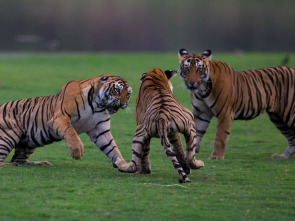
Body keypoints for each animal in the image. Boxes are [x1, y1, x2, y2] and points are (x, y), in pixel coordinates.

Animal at [0, 74, 132, 167]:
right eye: (117, 90)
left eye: (128, 94)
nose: (124, 104)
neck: (98, 105)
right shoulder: (59, 117)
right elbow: (71, 132)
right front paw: (77, 152)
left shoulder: (100, 129)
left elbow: (112, 148)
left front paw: (123, 164)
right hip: (9, 135)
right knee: (4, 162)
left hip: (29, 143)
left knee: (18, 160)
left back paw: (41, 163)